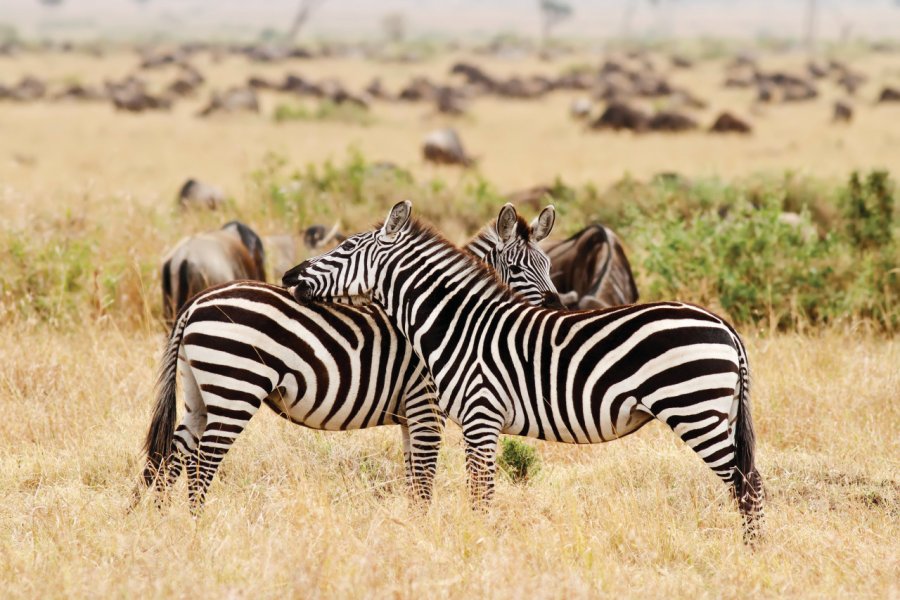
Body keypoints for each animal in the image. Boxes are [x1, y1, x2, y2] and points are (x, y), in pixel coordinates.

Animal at [139, 203, 564, 510]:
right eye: (516, 267)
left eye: (548, 265)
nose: (558, 306)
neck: (447, 318)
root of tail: (197, 302)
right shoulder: (426, 407)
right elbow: (424, 482)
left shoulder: (411, 416)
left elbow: (413, 480)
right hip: (235, 386)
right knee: (202, 462)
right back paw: (196, 526)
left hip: (199, 392)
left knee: (173, 456)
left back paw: (162, 523)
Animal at [284, 200, 764, 540]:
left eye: (345, 247)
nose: (289, 276)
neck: (458, 324)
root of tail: (725, 326)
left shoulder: (479, 416)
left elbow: (478, 493)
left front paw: (475, 547)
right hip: (713, 413)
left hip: (694, 410)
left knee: (748, 484)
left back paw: (751, 554)